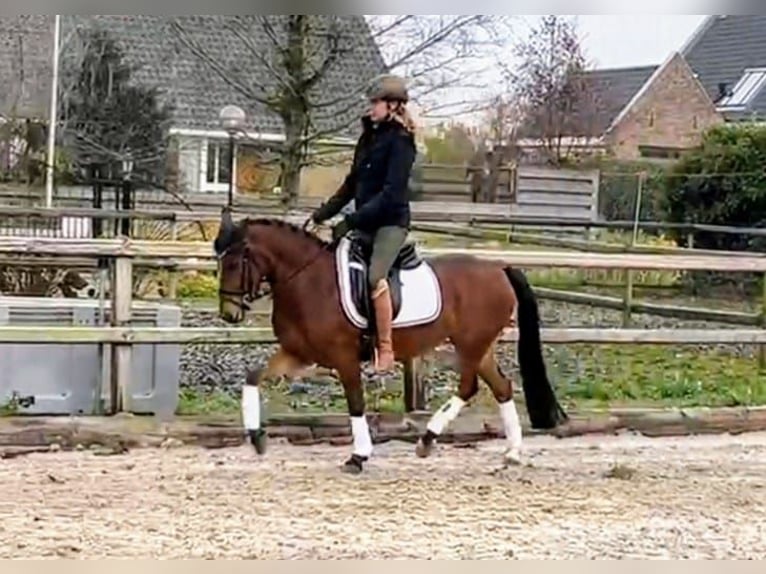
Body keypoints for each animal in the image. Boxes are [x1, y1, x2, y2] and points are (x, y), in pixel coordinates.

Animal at [213, 209, 568, 474]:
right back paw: (511, 452)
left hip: (470, 343)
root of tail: (499, 268)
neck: (307, 280)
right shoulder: (297, 353)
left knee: (470, 387)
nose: (229, 314)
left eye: (234, 262)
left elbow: (356, 403)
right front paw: (256, 437)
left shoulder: (343, 358)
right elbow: (254, 376)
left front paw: (358, 456)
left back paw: (429, 440)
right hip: (480, 346)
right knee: (502, 387)